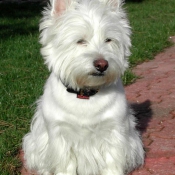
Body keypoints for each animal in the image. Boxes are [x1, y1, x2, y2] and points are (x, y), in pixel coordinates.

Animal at [22, 0, 144, 174]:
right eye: (80, 41)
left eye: (108, 40)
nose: (102, 64)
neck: (85, 93)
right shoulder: (60, 134)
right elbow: (65, 165)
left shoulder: (114, 131)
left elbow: (112, 161)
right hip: (34, 143)